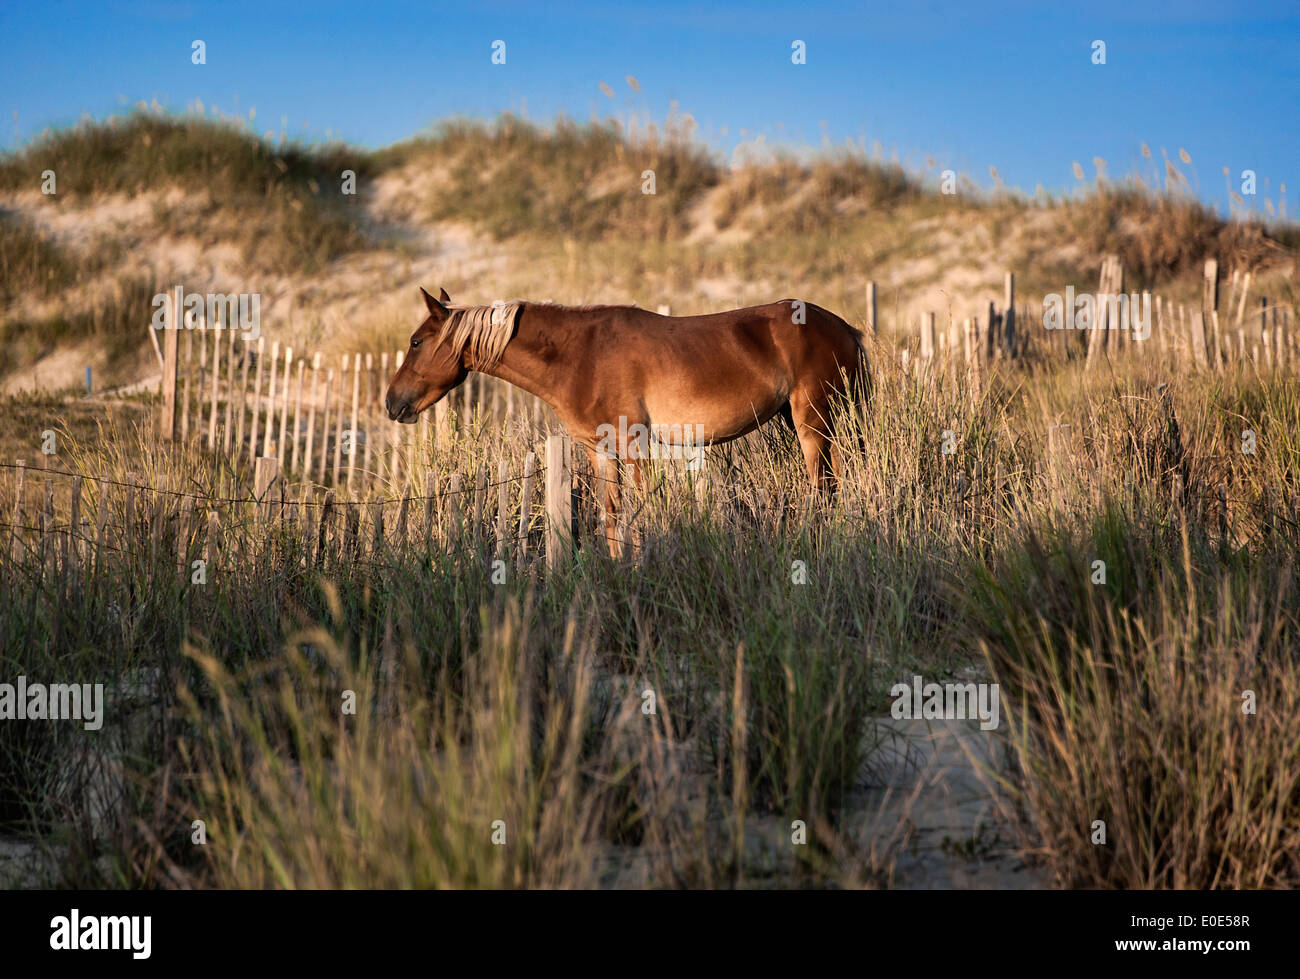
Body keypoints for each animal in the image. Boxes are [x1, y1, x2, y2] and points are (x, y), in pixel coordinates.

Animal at [384, 288, 873, 551]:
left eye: (415, 342)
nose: (392, 403)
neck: (580, 355)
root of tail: (843, 326)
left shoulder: (633, 445)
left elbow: (639, 514)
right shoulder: (600, 452)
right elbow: (613, 517)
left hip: (813, 423)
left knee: (822, 487)